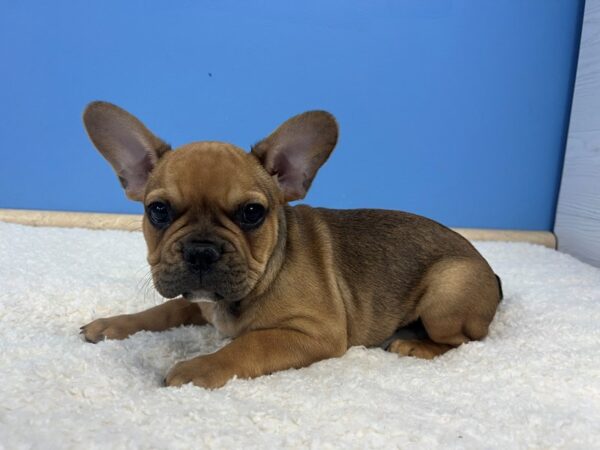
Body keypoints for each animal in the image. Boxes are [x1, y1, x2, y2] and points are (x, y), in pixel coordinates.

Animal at [79, 101, 502, 386]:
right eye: (158, 211)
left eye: (252, 213)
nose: (201, 250)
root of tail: (492, 275)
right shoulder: (197, 302)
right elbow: (162, 312)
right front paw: (112, 324)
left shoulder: (315, 333)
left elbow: (247, 346)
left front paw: (197, 368)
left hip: (446, 294)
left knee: (467, 340)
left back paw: (415, 345)